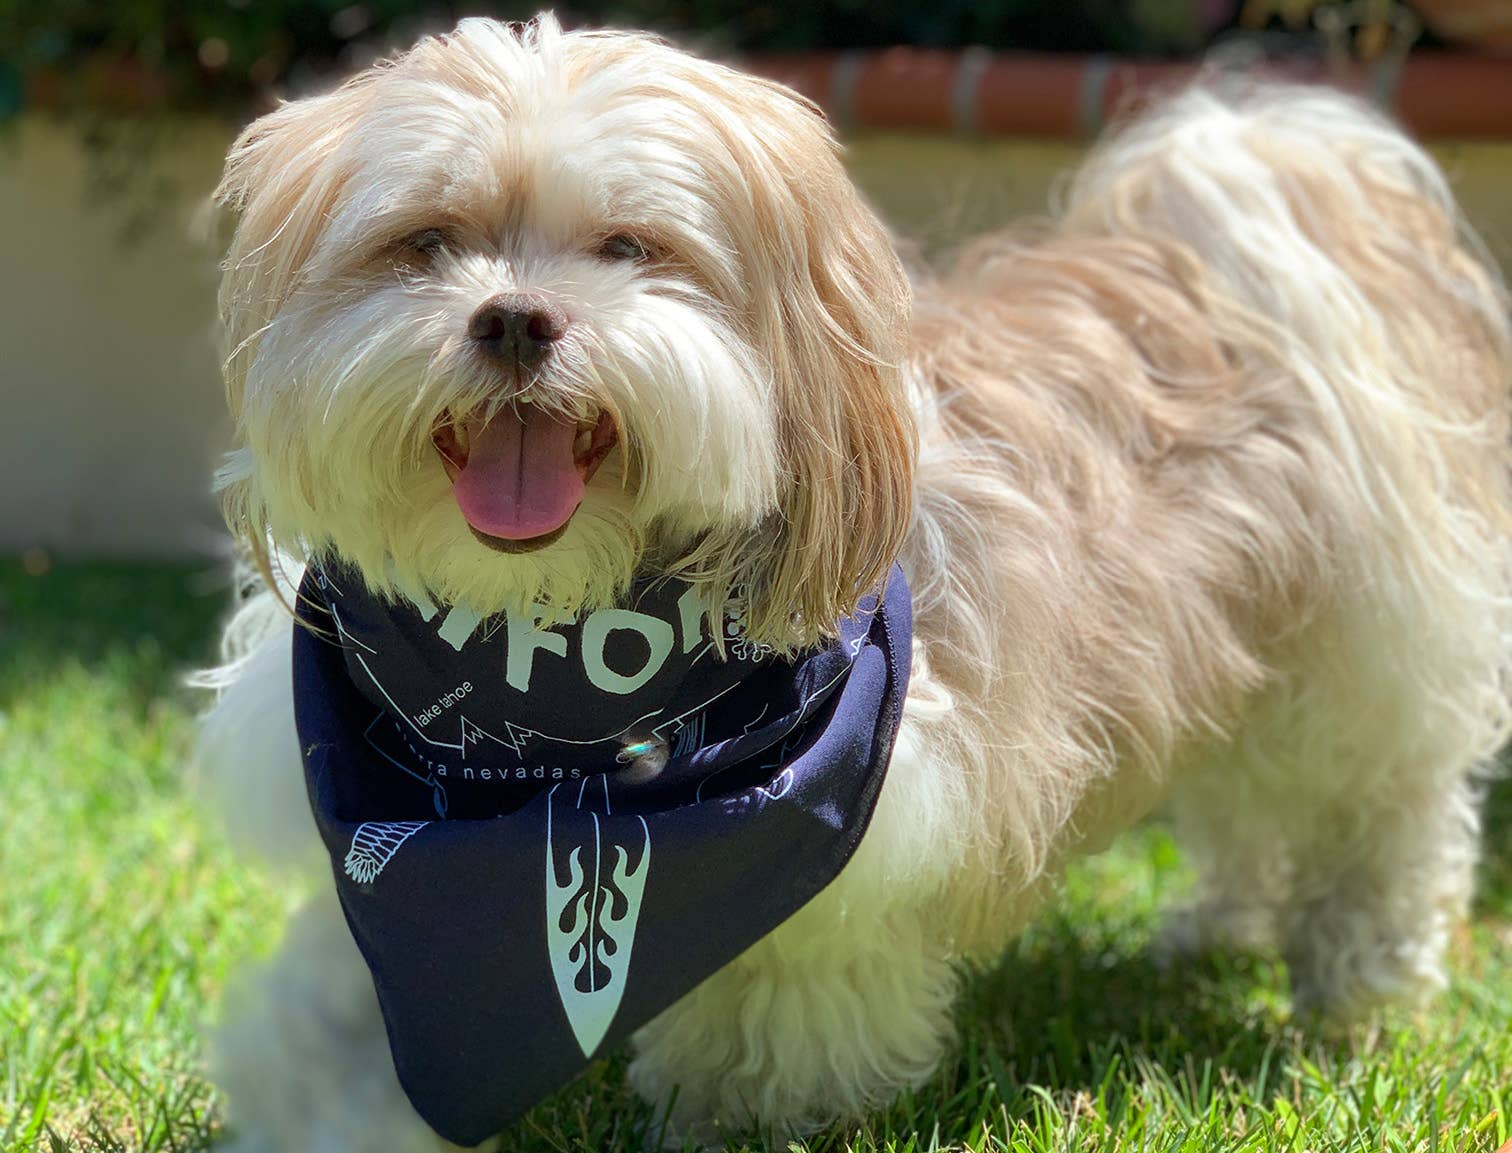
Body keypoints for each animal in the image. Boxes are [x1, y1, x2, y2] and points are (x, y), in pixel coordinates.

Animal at [198, 11, 1512, 1153]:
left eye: (631, 247)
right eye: (427, 241)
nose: (515, 319)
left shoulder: (864, 826)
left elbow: (786, 991)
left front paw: (742, 1108)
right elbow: (344, 1011)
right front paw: (313, 1097)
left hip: (1363, 664)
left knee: (1378, 814)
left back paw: (1361, 976)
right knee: (1248, 800)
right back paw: (1216, 931)